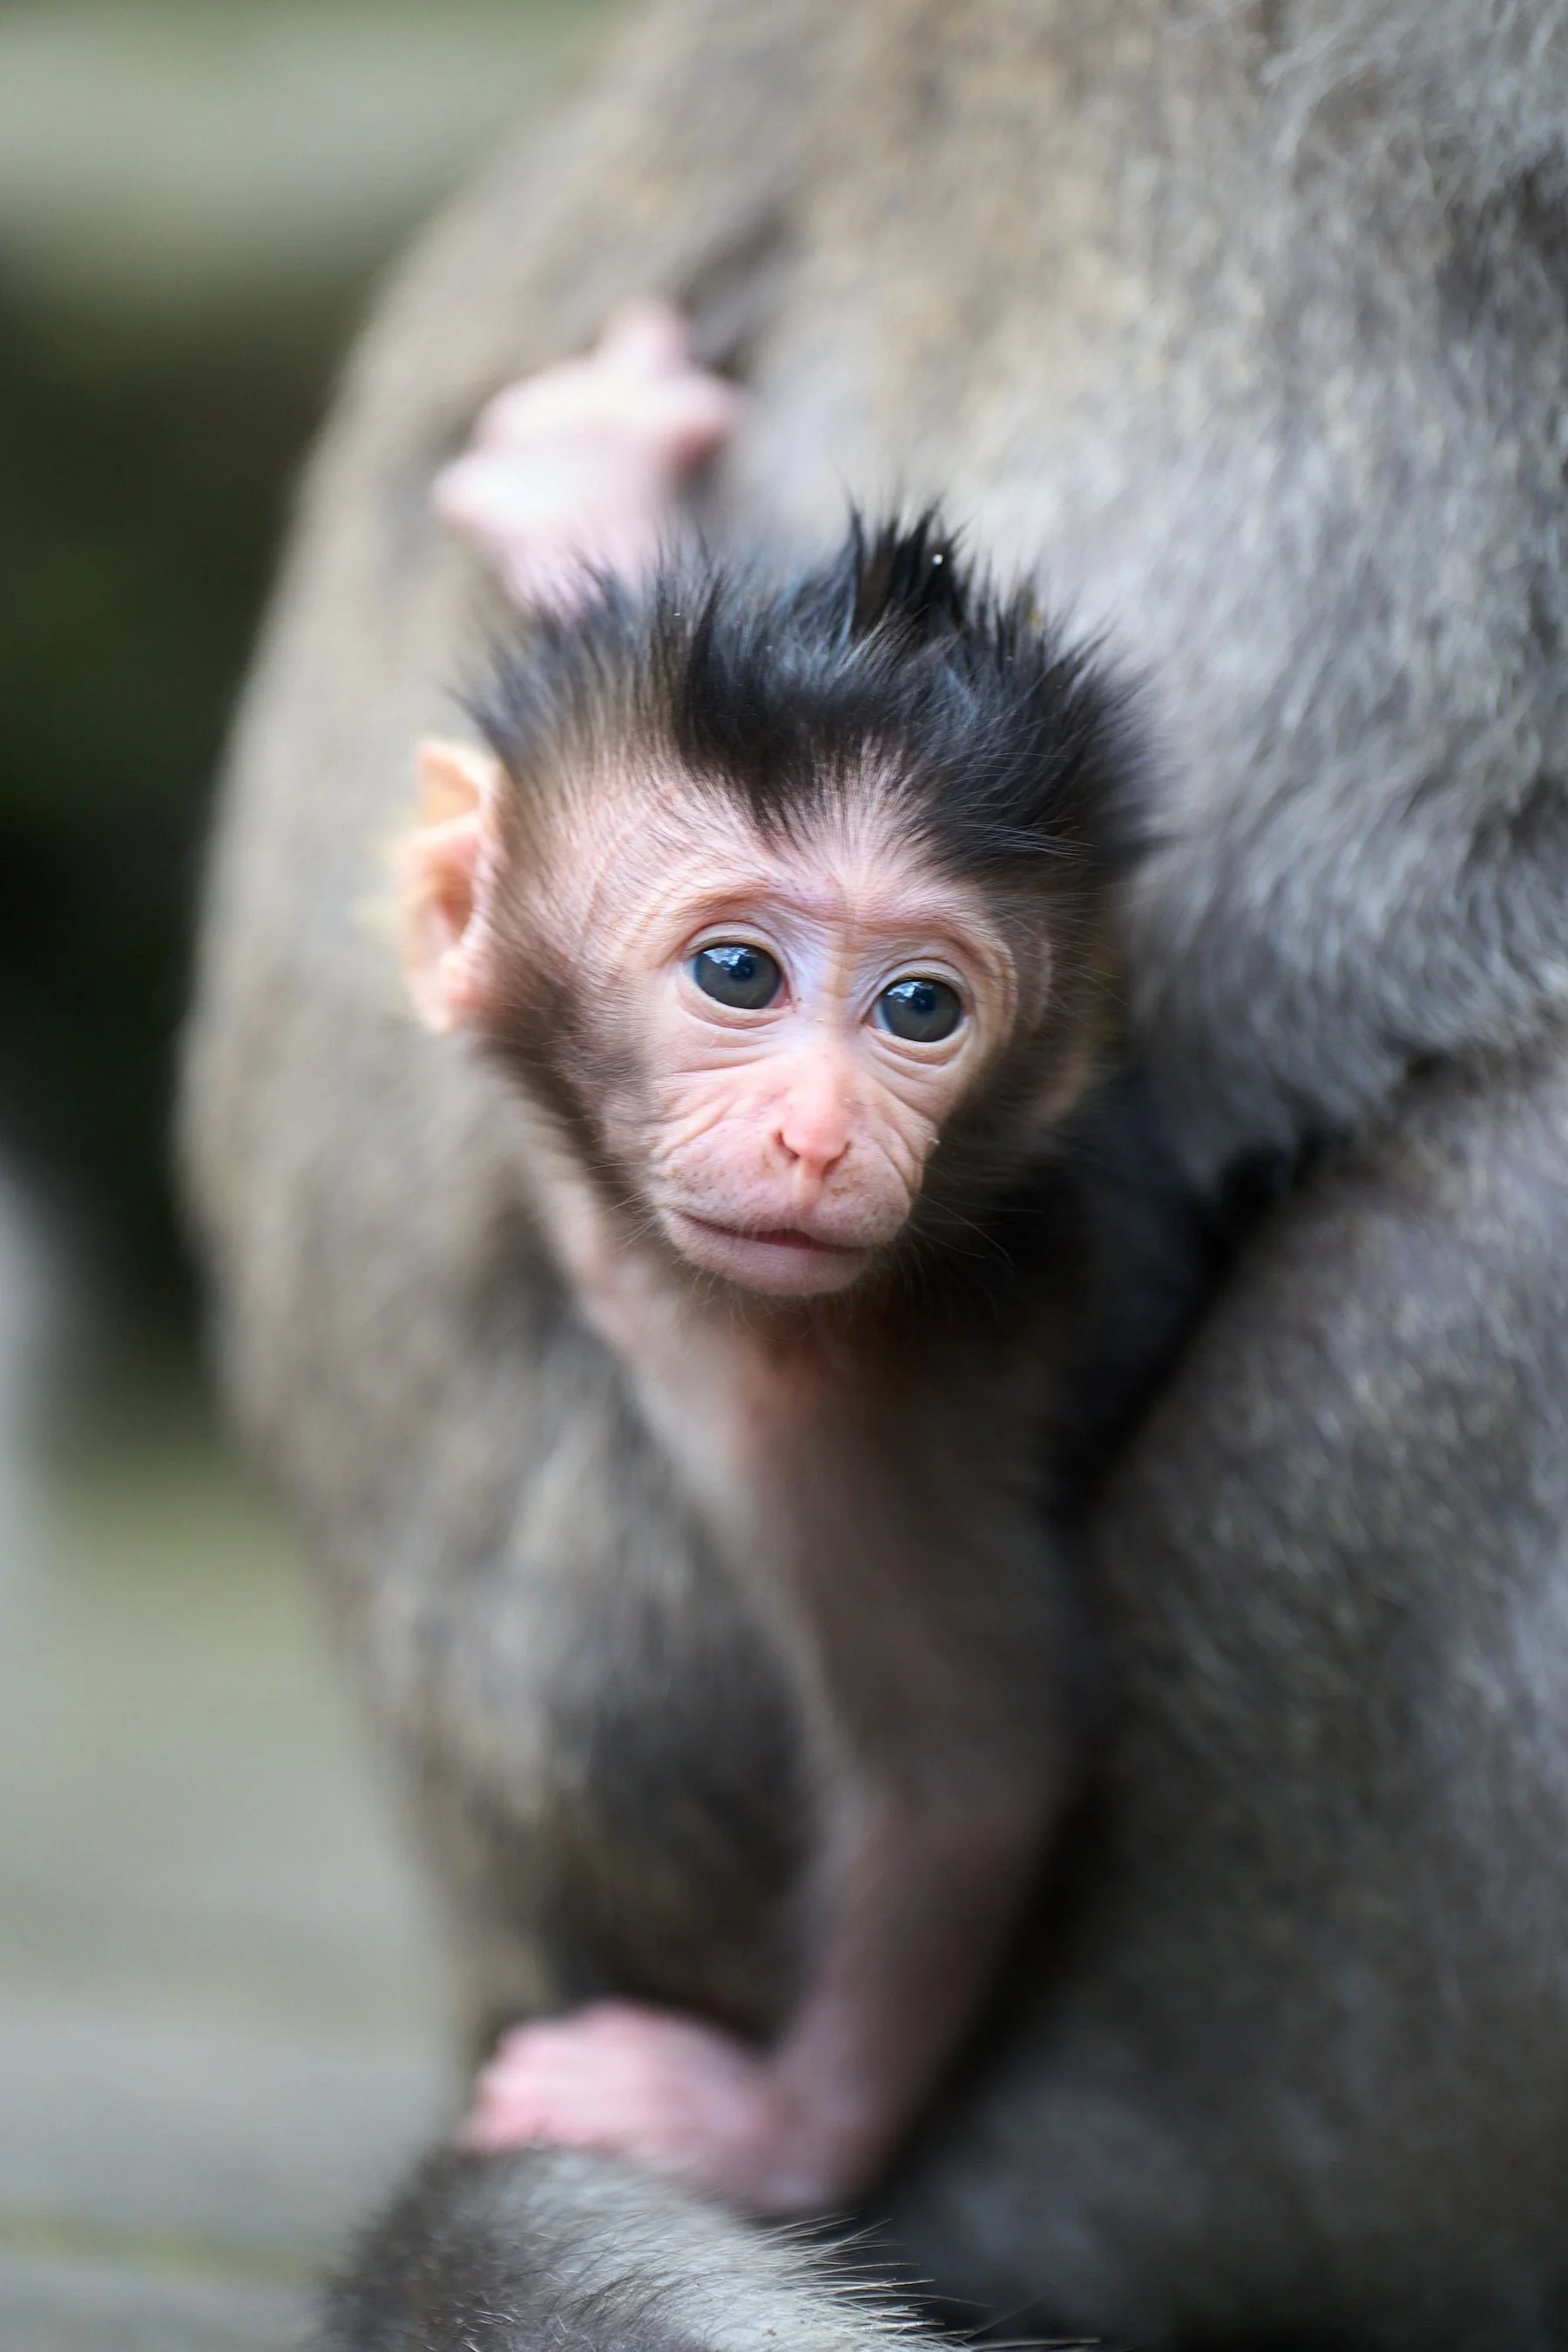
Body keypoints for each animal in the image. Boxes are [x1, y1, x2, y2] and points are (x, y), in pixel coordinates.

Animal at [181, 0, 1568, 2345]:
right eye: (736, 973)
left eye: (922, 1007)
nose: (823, 1127)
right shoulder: (832, 1398)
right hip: (1209, 2064)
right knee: (1517, 1215)